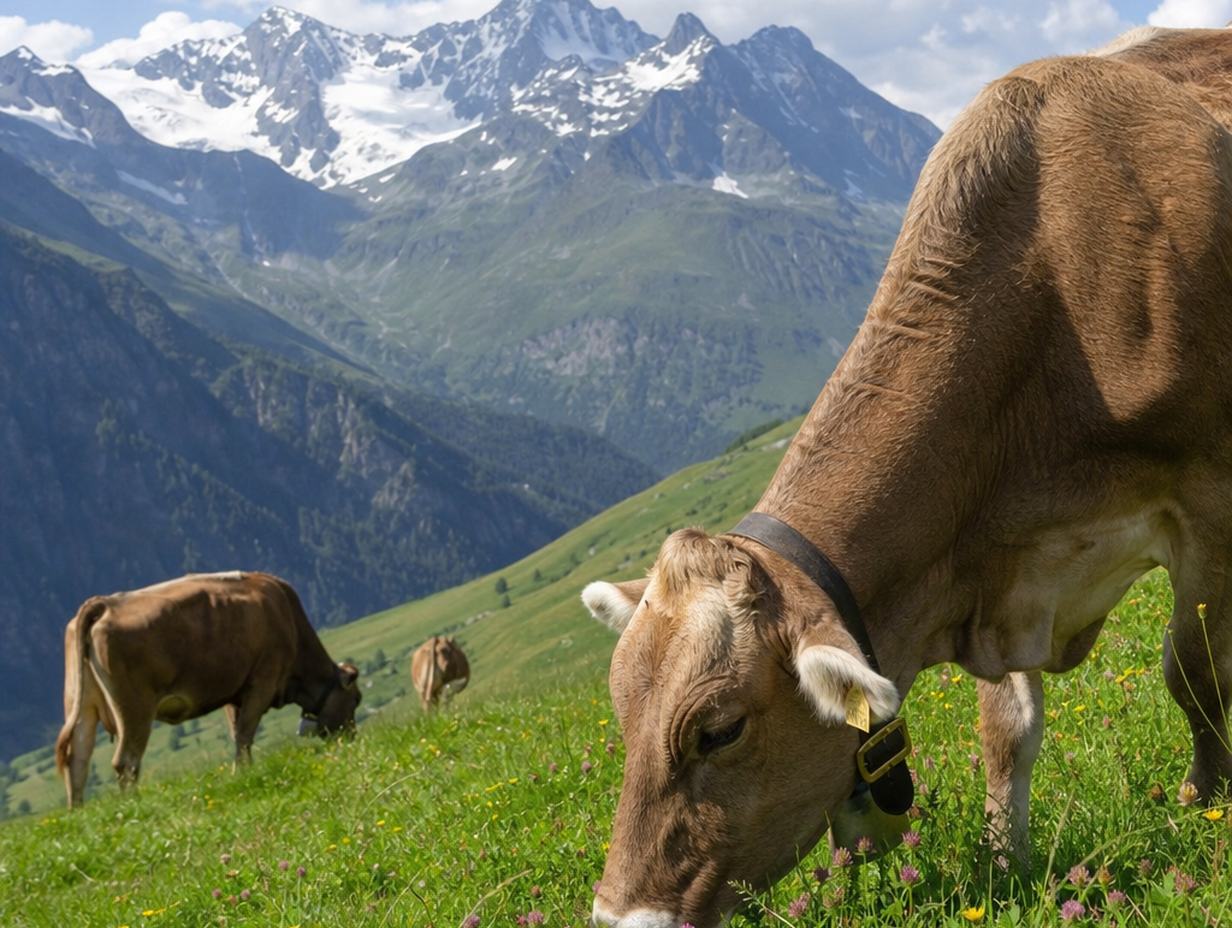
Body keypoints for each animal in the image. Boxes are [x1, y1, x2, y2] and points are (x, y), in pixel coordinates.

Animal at [55, 571, 361, 808]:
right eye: (356, 700)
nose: (352, 738)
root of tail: (105, 603)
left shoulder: (235, 694)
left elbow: (237, 733)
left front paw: (245, 770)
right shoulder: (262, 682)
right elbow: (245, 733)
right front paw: (241, 773)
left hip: (81, 705)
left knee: (77, 761)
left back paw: (78, 813)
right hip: (134, 708)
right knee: (125, 761)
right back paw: (133, 805)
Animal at [581, 26, 1232, 928]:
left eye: (719, 730)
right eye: (620, 711)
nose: (620, 915)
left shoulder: (1209, 501)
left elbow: (1194, 674)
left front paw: (1207, 804)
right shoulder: (1001, 551)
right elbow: (1007, 729)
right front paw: (1007, 864)